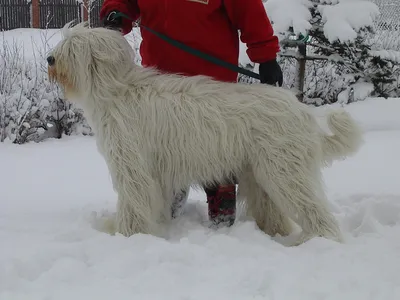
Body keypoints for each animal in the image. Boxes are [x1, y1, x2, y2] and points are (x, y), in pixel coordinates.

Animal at [48, 22, 364, 245]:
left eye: (73, 47)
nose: (50, 59)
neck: (116, 89)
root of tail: (302, 110)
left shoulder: (133, 165)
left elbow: (134, 202)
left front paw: (127, 235)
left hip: (285, 171)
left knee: (316, 212)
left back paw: (315, 242)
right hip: (260, 174)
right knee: (273, 212)